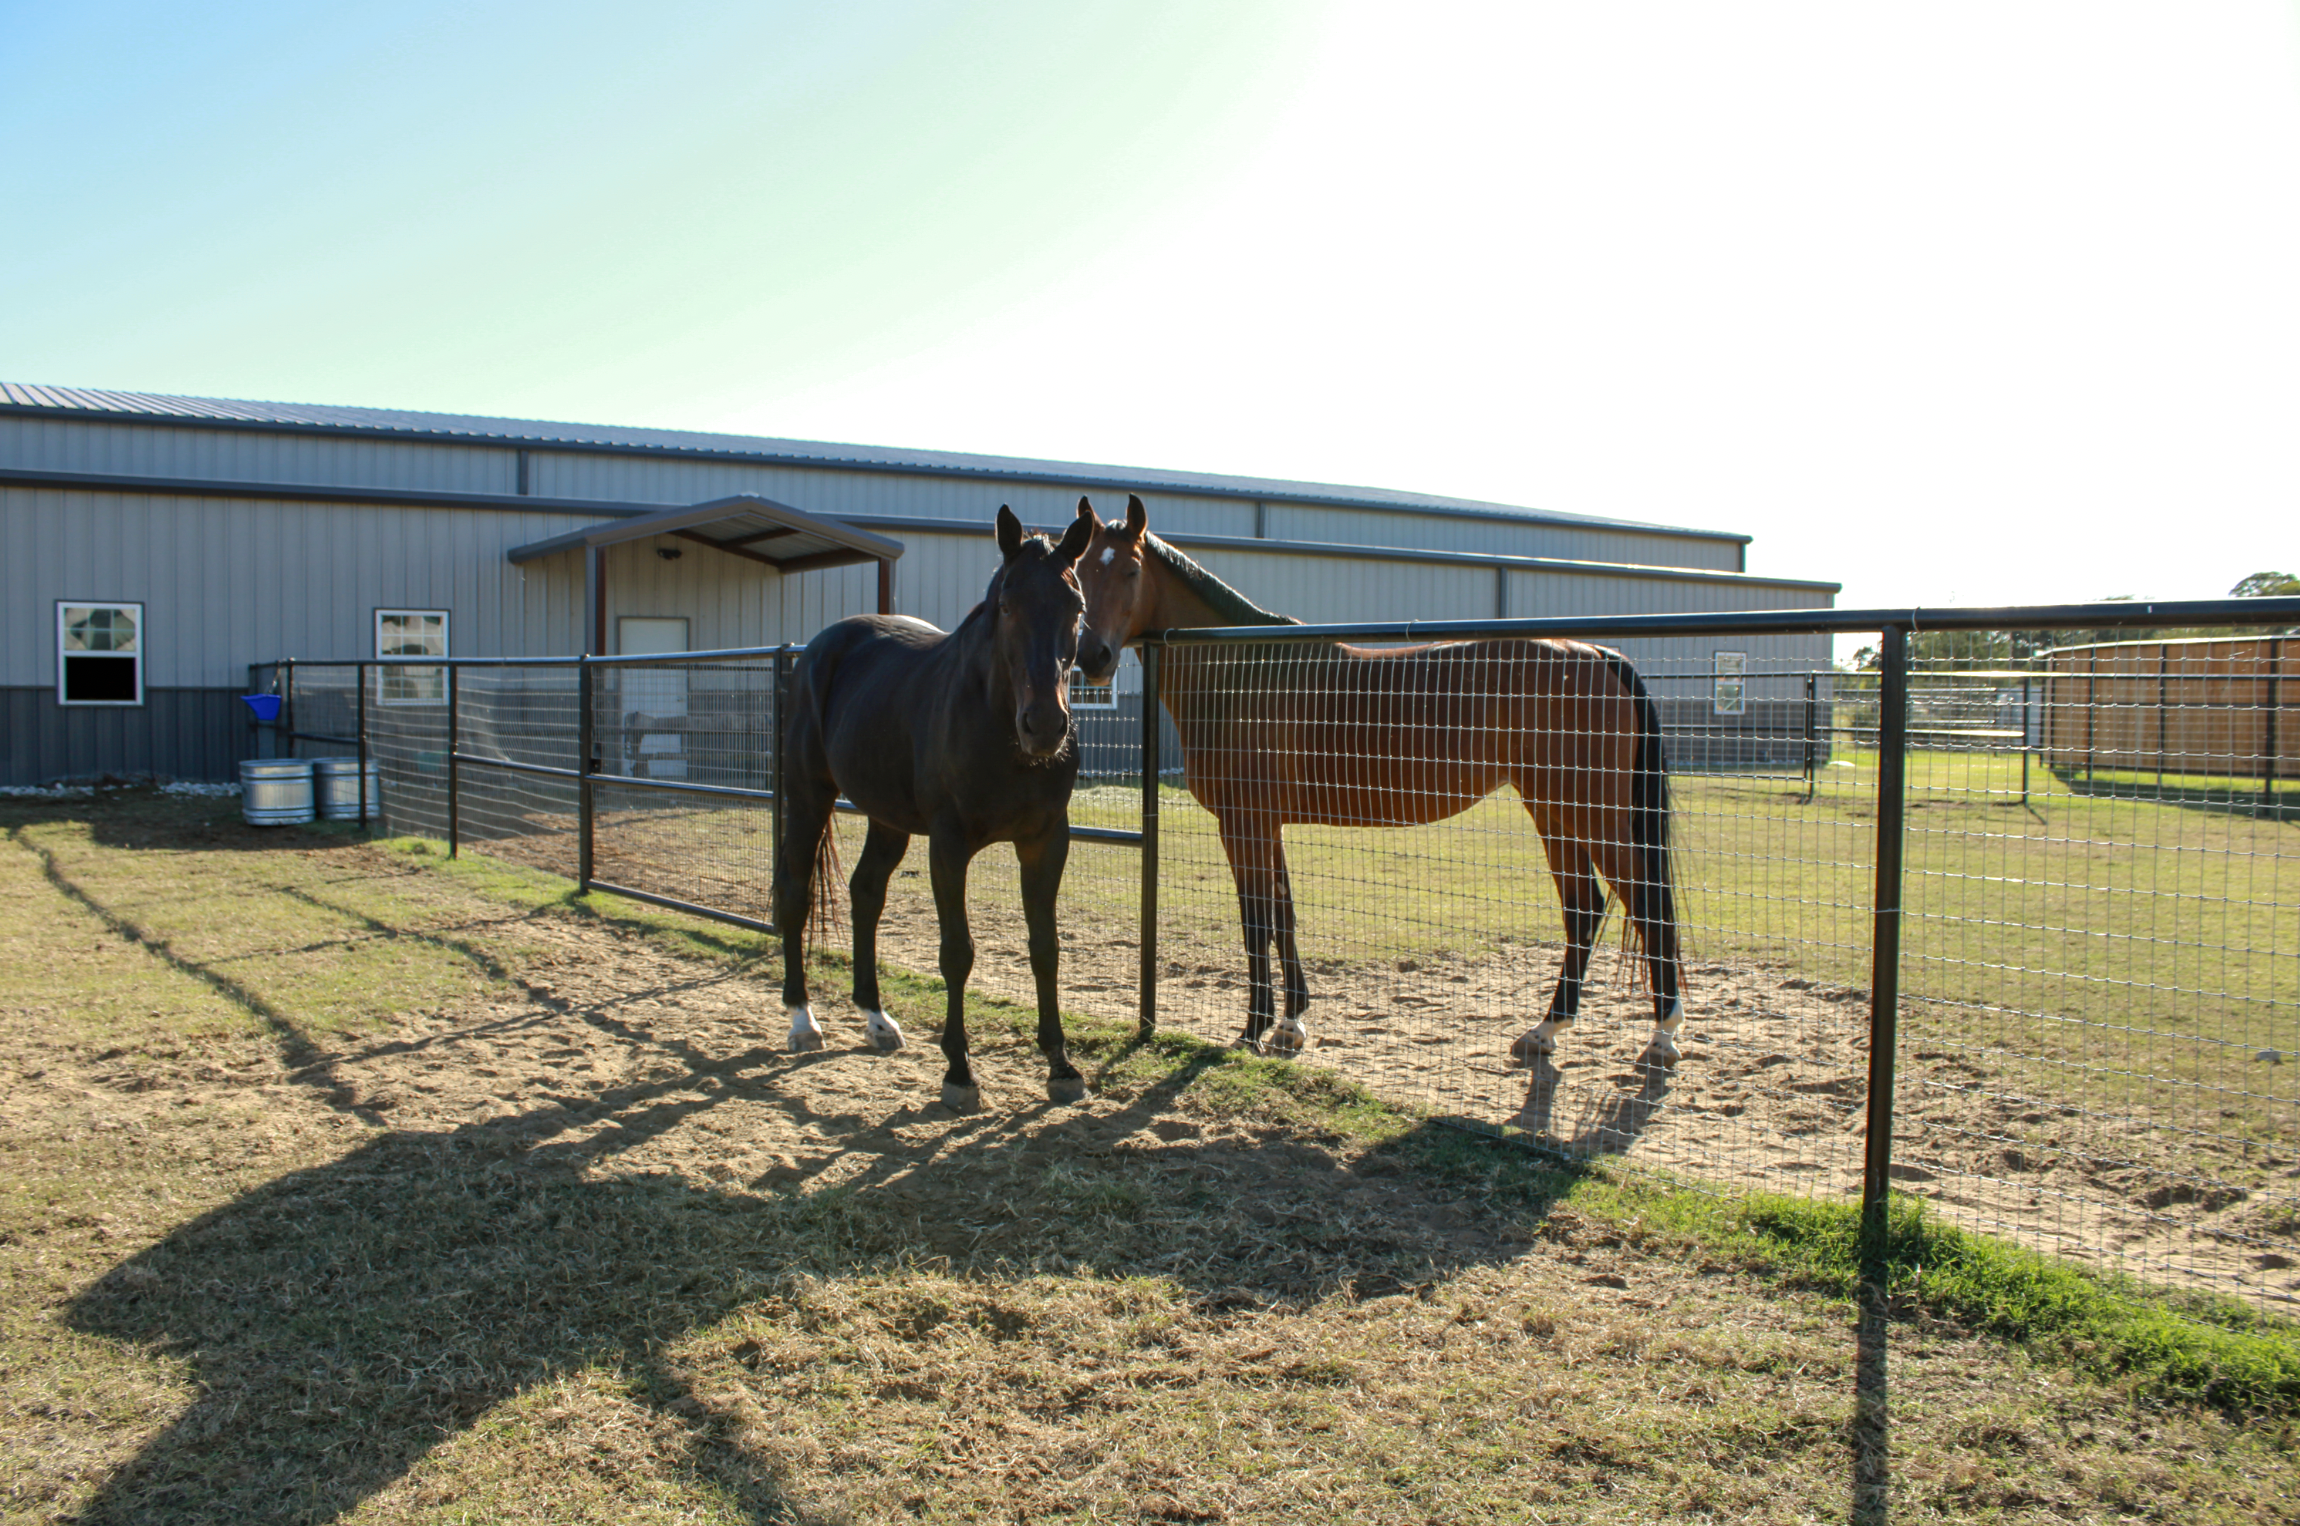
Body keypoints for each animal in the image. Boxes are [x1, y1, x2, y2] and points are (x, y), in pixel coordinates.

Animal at [773, 505, 1099, 1112]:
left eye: (1077, 605)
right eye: (1006, 604)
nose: (1045, 726)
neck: (995, 725)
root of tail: (816, 652)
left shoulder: (1047, 841)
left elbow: (1045, 947)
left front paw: (1061, 1064)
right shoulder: (949, 845)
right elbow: (957, 953)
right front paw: (959, 1072)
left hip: (886, 819)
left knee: (865, 894)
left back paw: (876, 1019)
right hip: (807, 796)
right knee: (795, 895)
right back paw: (802, 1020)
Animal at [1071, 494, 1687, 1071]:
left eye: (1130, 570)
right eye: (1078, 572)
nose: (1090, 658)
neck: (1242, 673)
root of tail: (1596, 653)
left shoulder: (1244, 824)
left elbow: (1256, 920)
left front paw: (1252, 1030)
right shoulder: (1267, 825)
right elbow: (1283, 915)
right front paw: (1291, 1023)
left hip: (1589, 811)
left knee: (1645, 901)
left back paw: (1663, 1034)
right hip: (1551, 808)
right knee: (1583, 909)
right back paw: (1545, 1030)